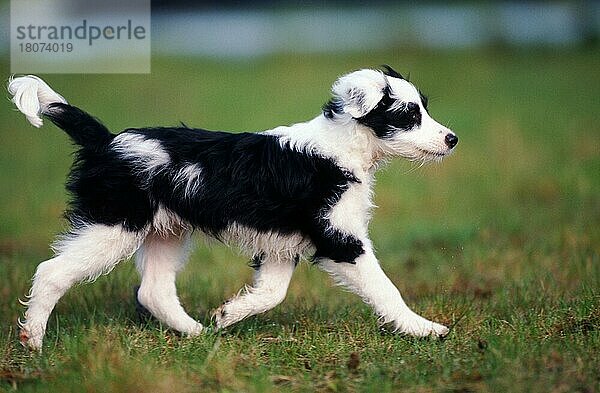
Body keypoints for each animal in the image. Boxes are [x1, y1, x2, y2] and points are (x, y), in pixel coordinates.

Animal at [8, 66, 460, 350]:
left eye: (424, 108)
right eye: (409, 115)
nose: (452, 139)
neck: (342, 147)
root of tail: (106, 141)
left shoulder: (281, 243)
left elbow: (272, 292)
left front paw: (227, 314)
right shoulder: (340, 238)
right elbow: (386, 289)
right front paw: (425, 329)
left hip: (166, 231)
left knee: (154, 290)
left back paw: (197, 334)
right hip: (114, 224)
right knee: (51, 272)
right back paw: (34, 342)